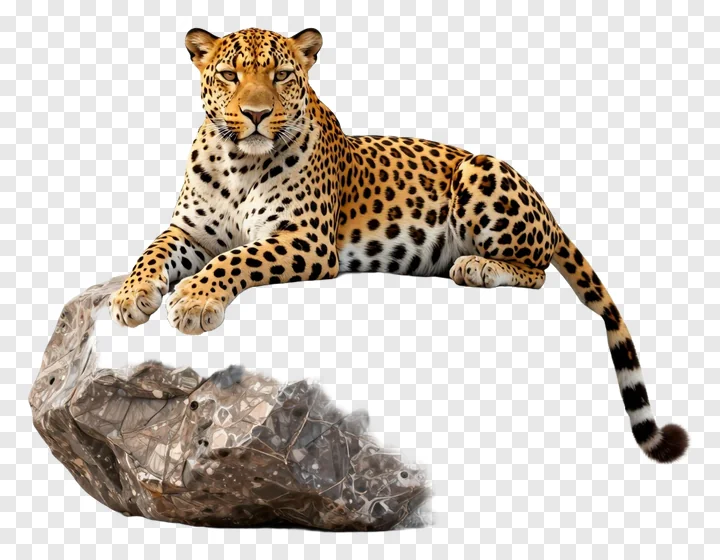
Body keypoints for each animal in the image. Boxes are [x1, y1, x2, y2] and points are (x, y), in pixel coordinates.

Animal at [108, 27, 687, 462]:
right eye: (230, 75)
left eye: (282, 76)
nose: (254, 114)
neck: (237, 164)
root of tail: (547, 207)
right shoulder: (188, 231)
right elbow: (151, 251)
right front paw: (130, 296)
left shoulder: (306, 239)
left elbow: (237, 257)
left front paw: (195, 300)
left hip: (482, 171)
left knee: (539, 267)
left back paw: (477, 266)